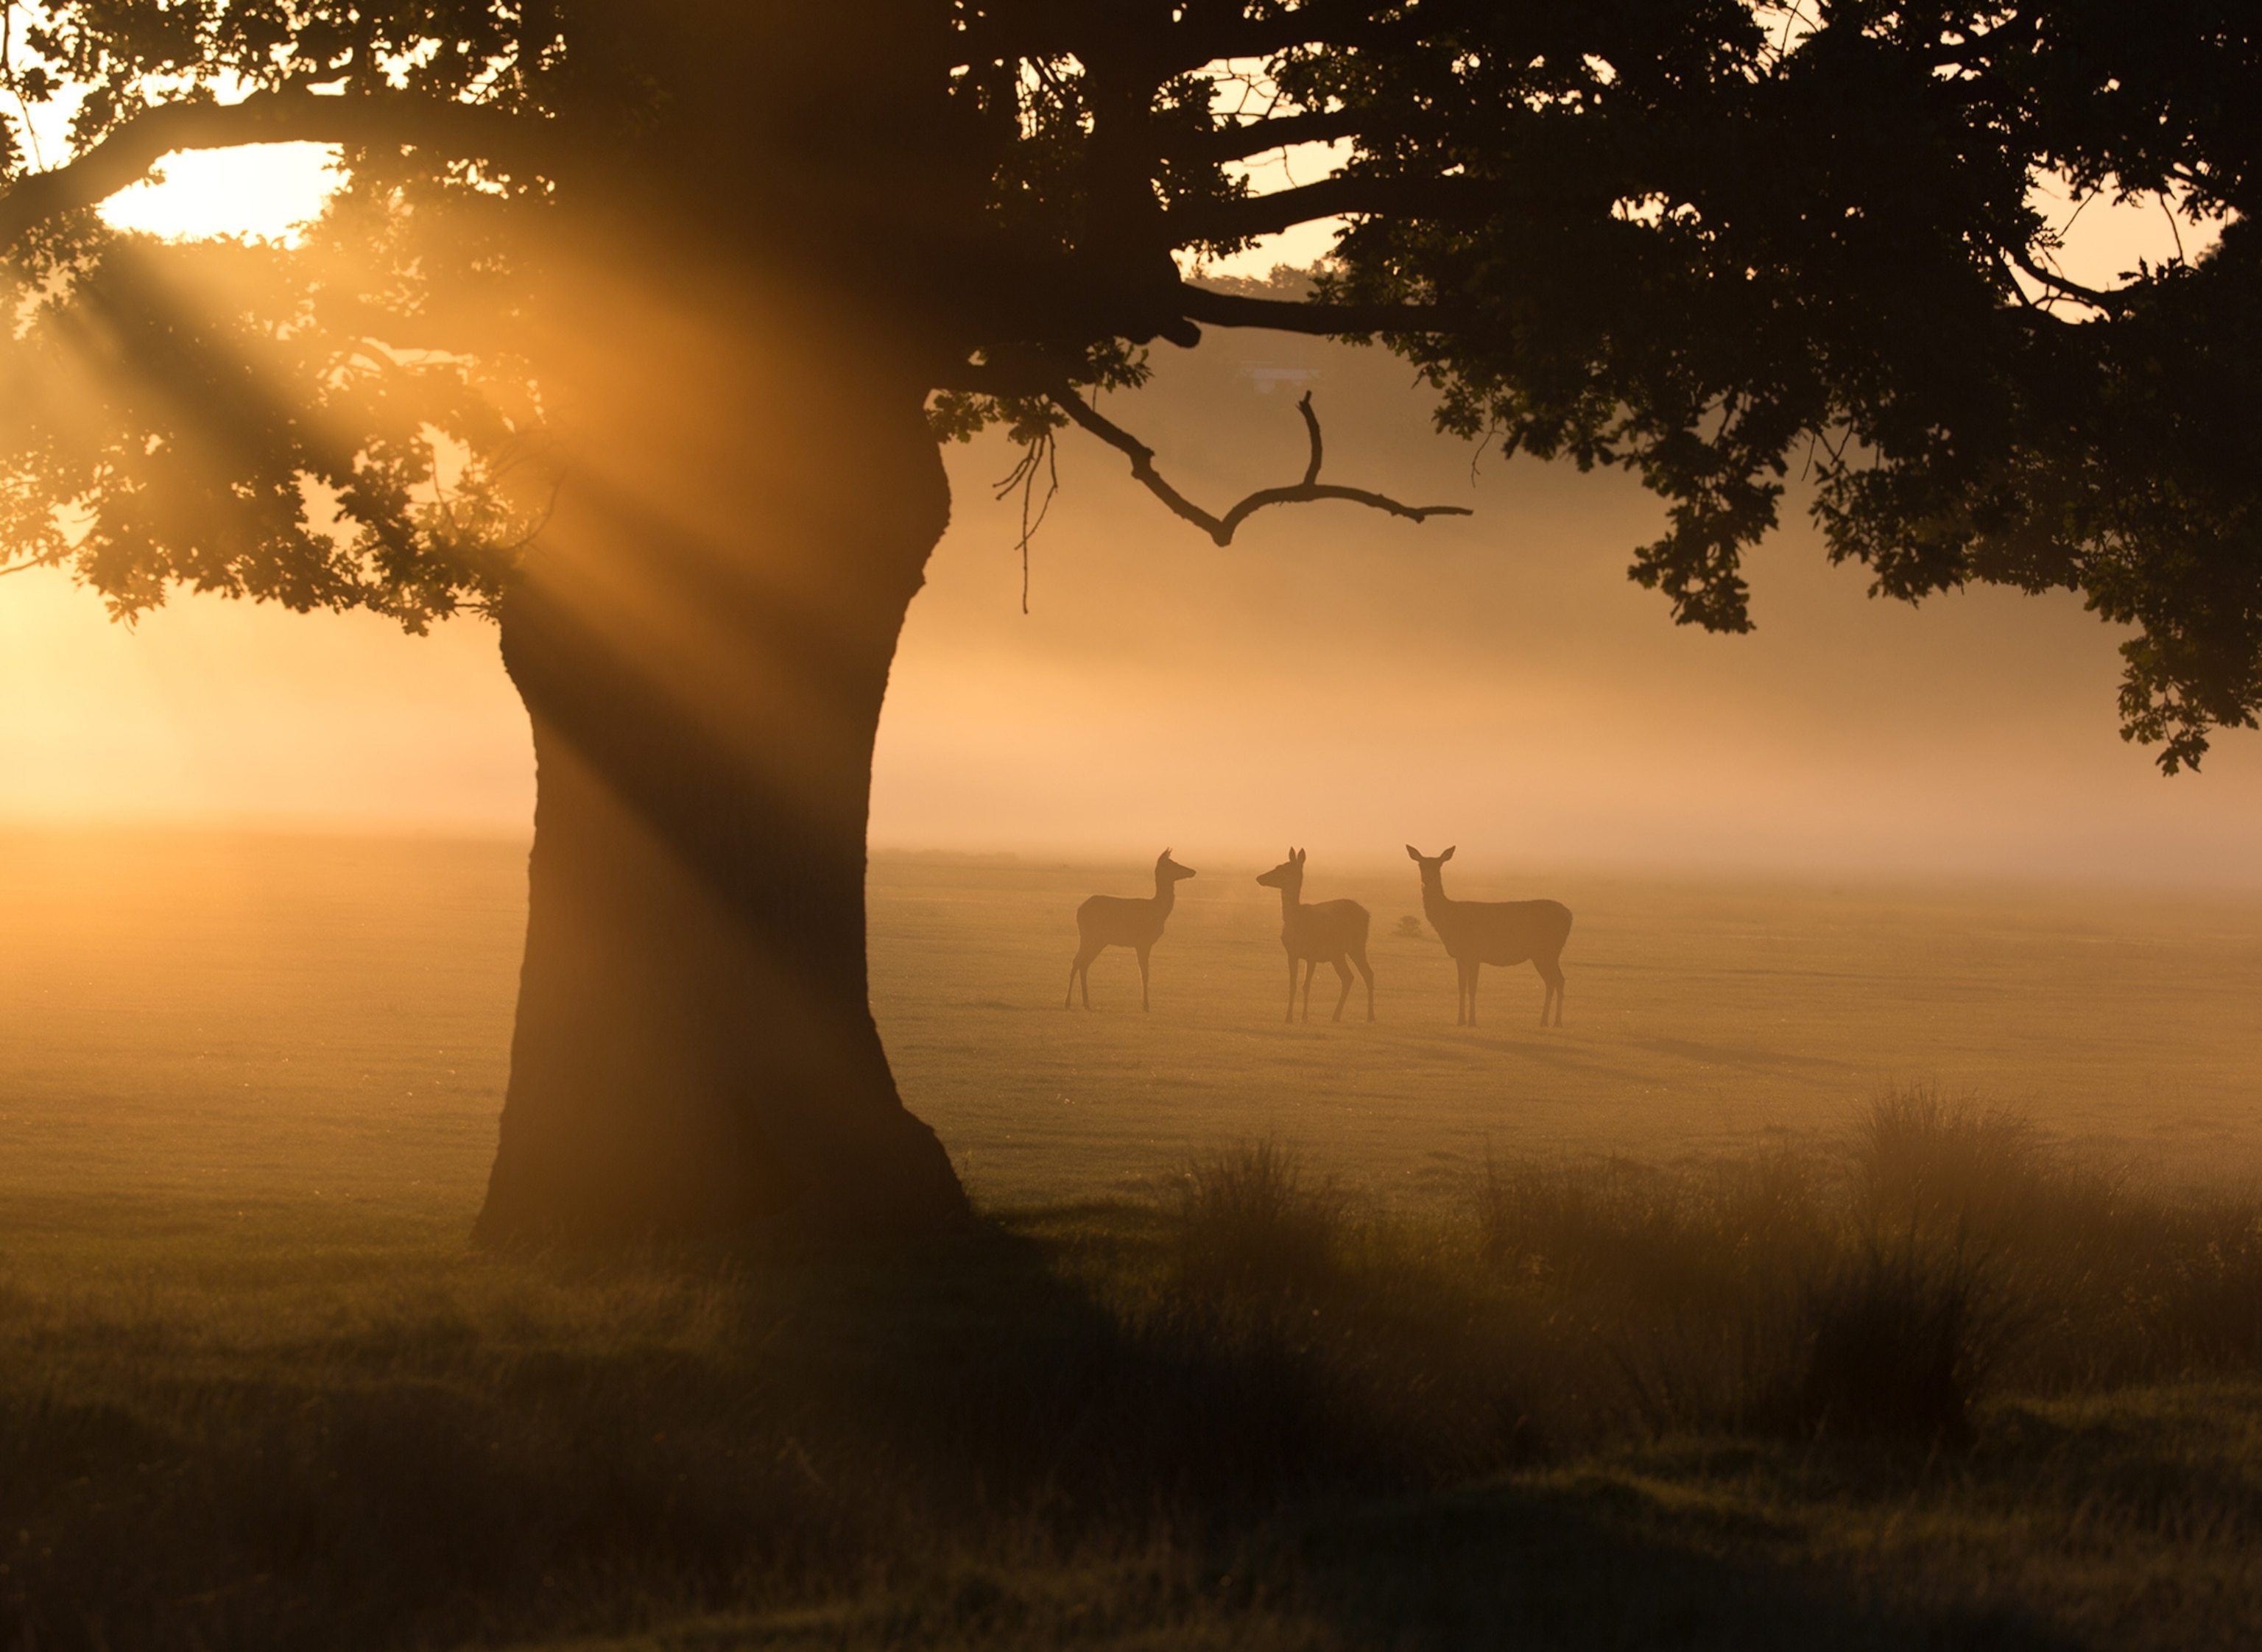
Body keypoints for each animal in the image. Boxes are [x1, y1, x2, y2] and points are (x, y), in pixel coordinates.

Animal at [1066, 849, 1197, 1011]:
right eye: (1173, 864)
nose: (1193, 871)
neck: (1158, 912)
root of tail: (1079, 910)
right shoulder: (1143, 942)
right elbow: (1145, 973)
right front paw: (1146, 1005)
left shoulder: (1143, 944)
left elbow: (1144, 972)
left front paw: (1144, 1003)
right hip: (1088, 935)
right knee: (1077, 962)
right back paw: (1068, 1002)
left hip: (1099, 940)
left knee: (1083, 963)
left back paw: (1086, 1002)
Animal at [1256, 848, 1376, 1024]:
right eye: (1278, 866)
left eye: (1284, 869)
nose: (1259, 877)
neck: (1296, 921)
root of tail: (1367, 914)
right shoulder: (1292, 953)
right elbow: (1293, 985)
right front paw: (1288, 1017)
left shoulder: (1312, 953)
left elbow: (1306, 985)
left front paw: (1304, 1018)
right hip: (1338, 954)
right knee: (1348, 977)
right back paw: (1336, 1016)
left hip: (1357, 945)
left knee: (1367, 974)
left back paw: (1370, 1016)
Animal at [1405, 845, 1572, 1027]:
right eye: (1421, 865)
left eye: (1439, 865)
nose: (1428, 879)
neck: (1450, 920)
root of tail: (1569, 915)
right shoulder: (1461, 956)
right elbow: (1462, 986)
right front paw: (1460, 1020)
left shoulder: (1474, 953)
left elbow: (1472, 988)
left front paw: (1472, 1021)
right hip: (1543, 954)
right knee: (1553, 981)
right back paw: (1544, 1021)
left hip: (1549, 951)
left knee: (1559, 980)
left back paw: (1556, 1022)